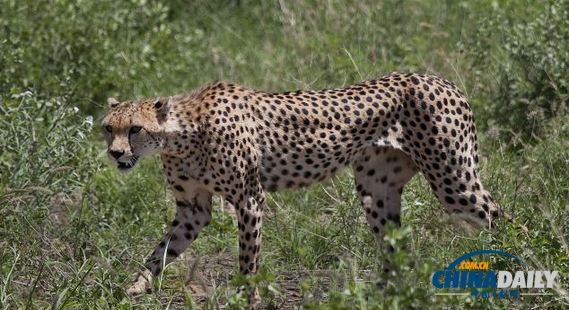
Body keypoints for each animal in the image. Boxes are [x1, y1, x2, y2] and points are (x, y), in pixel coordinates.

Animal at [102, 72, 502, 302]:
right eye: (108, 127)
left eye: (135, 129)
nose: (115, 153)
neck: (181, 134)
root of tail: (439, 78)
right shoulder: (193, 210)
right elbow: (160, 251)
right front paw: (135, 286)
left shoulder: (249, 199)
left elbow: (248, 259)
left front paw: (246, 297)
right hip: (376, 190)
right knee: (395, 248)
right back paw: (384, 295)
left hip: (452, 178)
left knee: (496, 214)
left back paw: (504, 269)